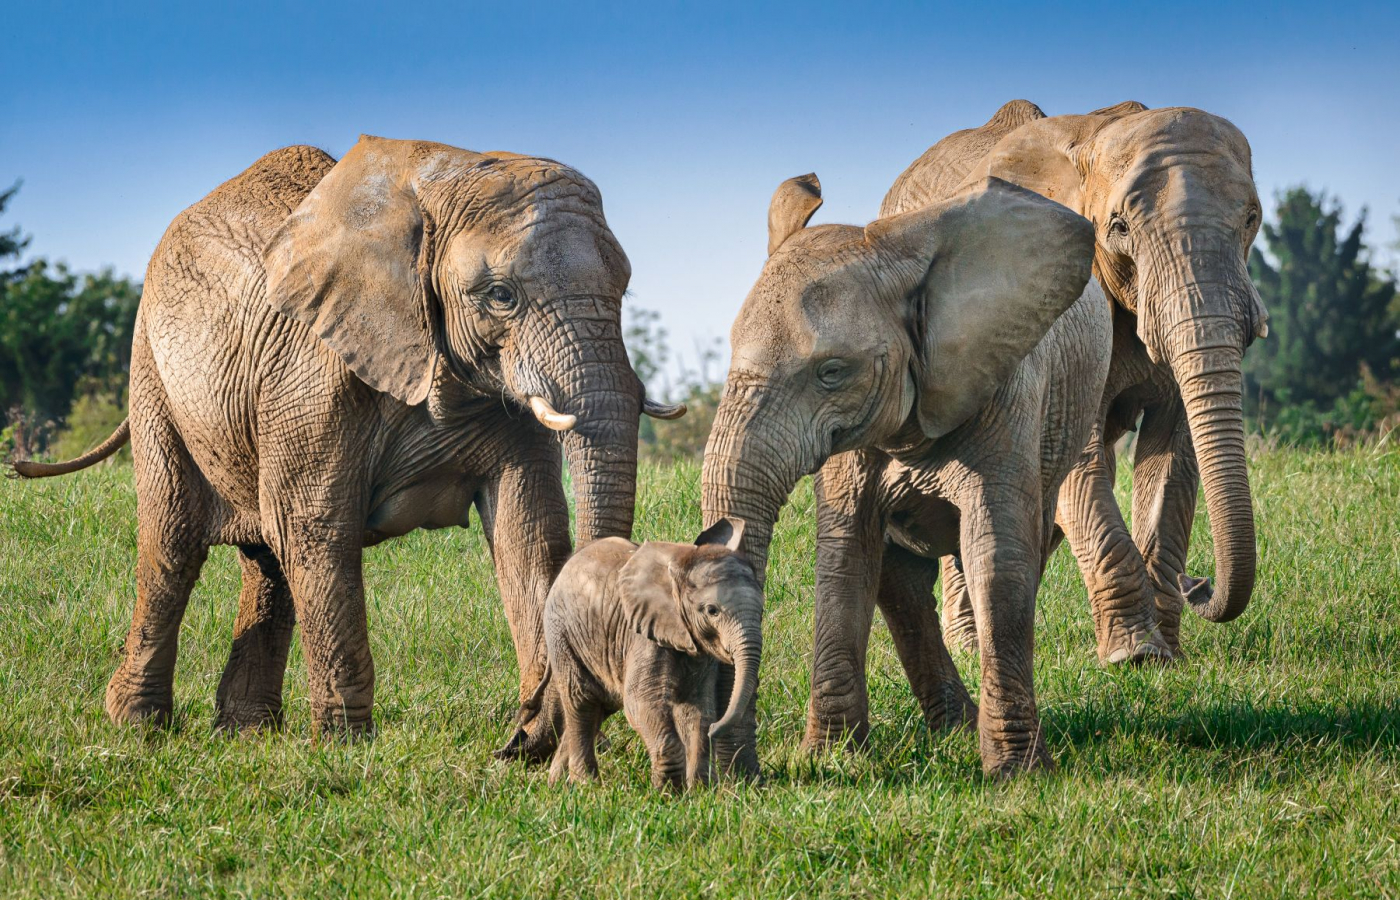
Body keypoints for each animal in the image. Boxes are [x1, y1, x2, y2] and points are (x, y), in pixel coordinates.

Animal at [12, 135, 683, 761]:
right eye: (500, 295)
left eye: (624, 289)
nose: (513, 738)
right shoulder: (312, 371)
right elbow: (318, 527)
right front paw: (345, 748)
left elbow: (528, 530)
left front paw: (537, 740)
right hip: (153, 369)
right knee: (173, 542)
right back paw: (138, 726)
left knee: (268, 557)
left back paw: (247, 732)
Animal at [526, 517, 767, 795]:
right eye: (712, 611)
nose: (716, 730)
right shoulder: (643, 636)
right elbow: (641, 703)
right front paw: (669, 794)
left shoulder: (697, 648)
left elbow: (697, 709)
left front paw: (700, 792)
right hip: (562, 632)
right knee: (582, 700)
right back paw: (586, 786)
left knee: (601, 705)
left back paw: (556, 785)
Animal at [700, 174, 1103, 772]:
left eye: (832, 372)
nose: (744, 776)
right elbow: (844, 555)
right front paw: (831, 761)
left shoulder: (1007, 386)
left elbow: (996, 555)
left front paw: (1018, 772)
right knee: (900, 579)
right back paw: (954, 728)